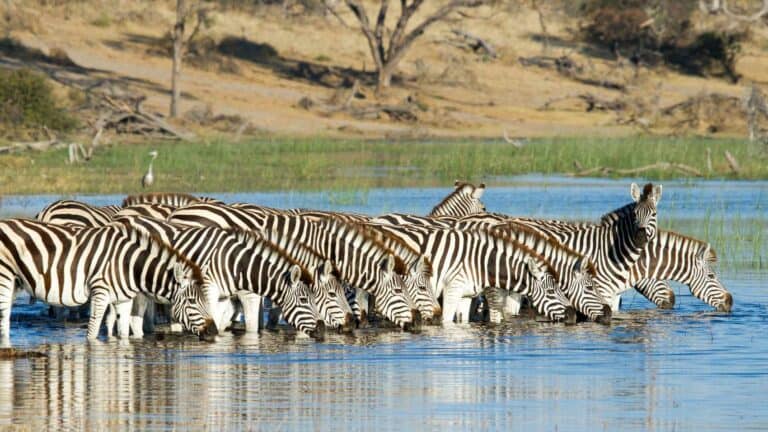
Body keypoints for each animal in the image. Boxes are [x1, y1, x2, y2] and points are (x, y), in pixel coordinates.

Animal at [0, 219, 217, 341]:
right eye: (191, 301)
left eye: (205, 300)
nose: (214, 331)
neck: (129, 265)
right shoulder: (100, 292)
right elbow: (93, 331)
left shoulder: (124, 299)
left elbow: (124, 333)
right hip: (4, 278)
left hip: (15, 282)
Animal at [370, 223, 577, 324]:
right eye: (551, 292)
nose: (573, 315)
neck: (480, 263)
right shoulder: (452, 290)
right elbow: (447, 321)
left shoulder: (466, 295)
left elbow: (463, 321)